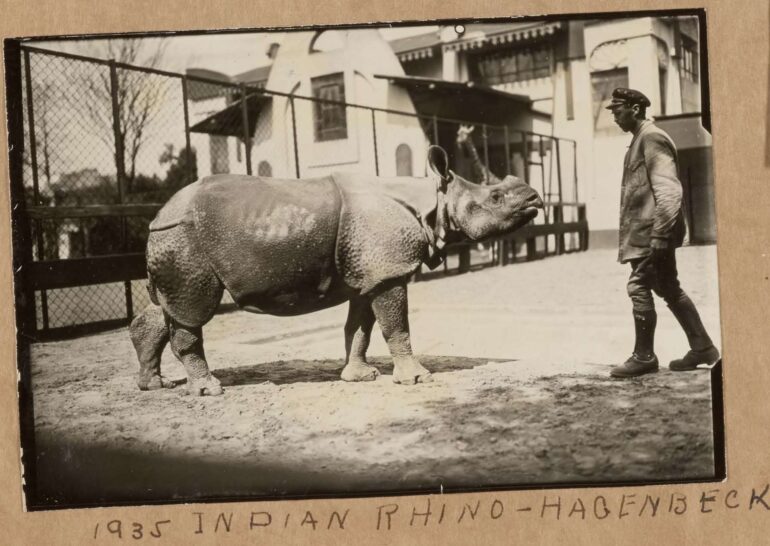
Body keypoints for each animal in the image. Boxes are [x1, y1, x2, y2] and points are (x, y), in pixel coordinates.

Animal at [129, 146, 543, 395]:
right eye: (495, 197)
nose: (536, 198)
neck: (432, 202)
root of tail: (159, 213)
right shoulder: (388, 271)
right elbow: (397, 326)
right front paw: (417, 378)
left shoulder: (369, 275)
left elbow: (359, 328)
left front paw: (359, 376)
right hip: (185, 237)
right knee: (192, 309)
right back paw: (209, 390)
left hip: (172, 237)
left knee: (165, 307)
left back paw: (155, 385)